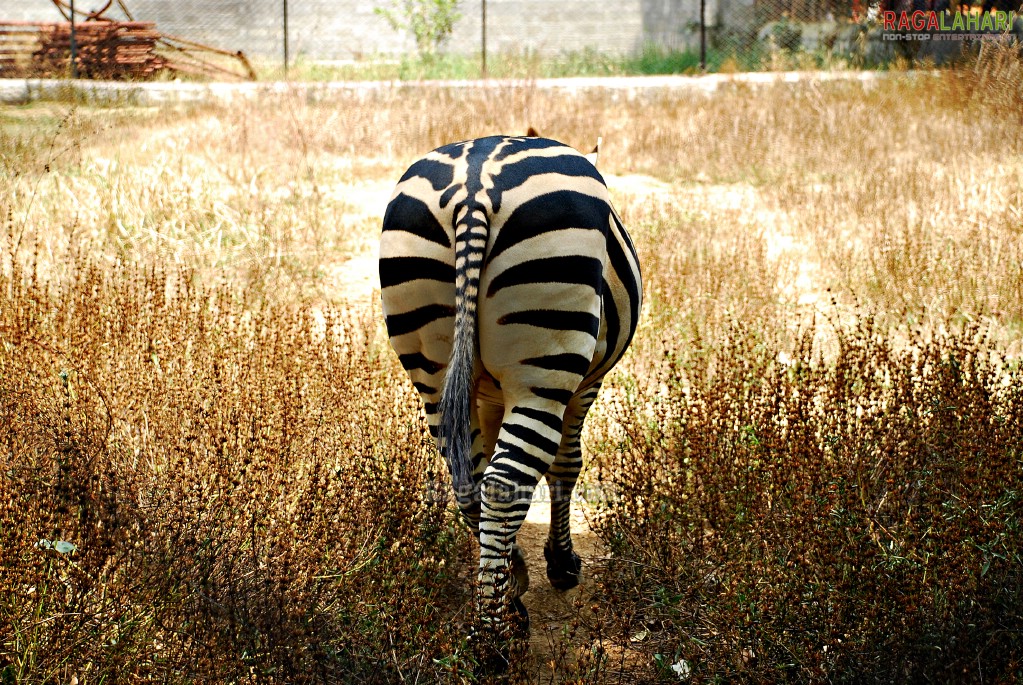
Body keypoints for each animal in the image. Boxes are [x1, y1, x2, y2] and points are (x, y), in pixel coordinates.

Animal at [380, 132, 642, 666]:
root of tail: (474, 185)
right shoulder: (585, 384)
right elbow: (567, 463)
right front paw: (560, 563)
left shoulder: (481, 393)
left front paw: (514, 572)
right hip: (545, 361)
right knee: (504, 483)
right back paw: (493, 639)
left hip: (431, 368)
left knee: (469, 481)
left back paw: (503, 608)